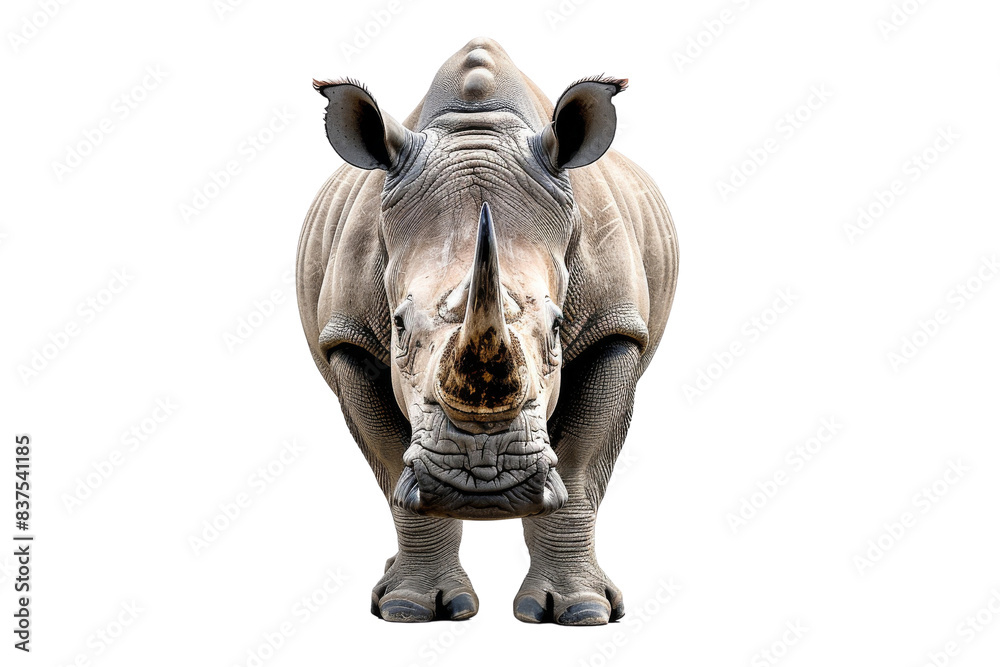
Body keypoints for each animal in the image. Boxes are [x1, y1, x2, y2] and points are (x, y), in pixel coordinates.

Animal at [296, 37, 677, 625]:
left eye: (558, 327)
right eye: (398, 326)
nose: (483, 479)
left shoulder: (617, 328)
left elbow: (579, 466)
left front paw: (581, 612)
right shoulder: (349, 337)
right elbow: (389, 462)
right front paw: (410, 608)